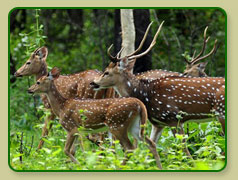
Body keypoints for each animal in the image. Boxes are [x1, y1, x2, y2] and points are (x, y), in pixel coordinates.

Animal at [27, 67, 162, 169]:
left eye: (38, 82)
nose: (29, 89)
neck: (61, 107)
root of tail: (139, 104)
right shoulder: (80, 131)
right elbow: (73, 150)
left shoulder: (72, 127)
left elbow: (66, 150)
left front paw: (81, 164)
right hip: (134, 126)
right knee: (150, 143)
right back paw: (158, 167)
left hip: (117, 124)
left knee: (129, 148)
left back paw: (120, 167)